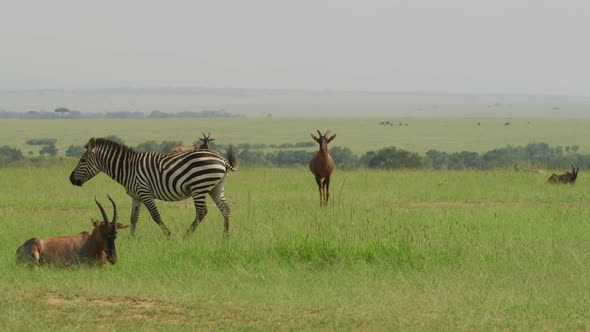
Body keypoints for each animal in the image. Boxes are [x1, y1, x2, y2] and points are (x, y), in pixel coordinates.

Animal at [72, 137, 240, 239]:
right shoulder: (136, 196)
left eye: (83, 160)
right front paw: (131, 239)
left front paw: (170, 236)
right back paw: (225, 237)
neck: (128, 168)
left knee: (201, 212)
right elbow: (133, 218)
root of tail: (222, 160)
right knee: (226, 209)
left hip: (199, 187)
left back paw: (186, 236)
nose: (71, 179)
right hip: (215, 188)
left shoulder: (145, 192)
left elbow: (155, 215)